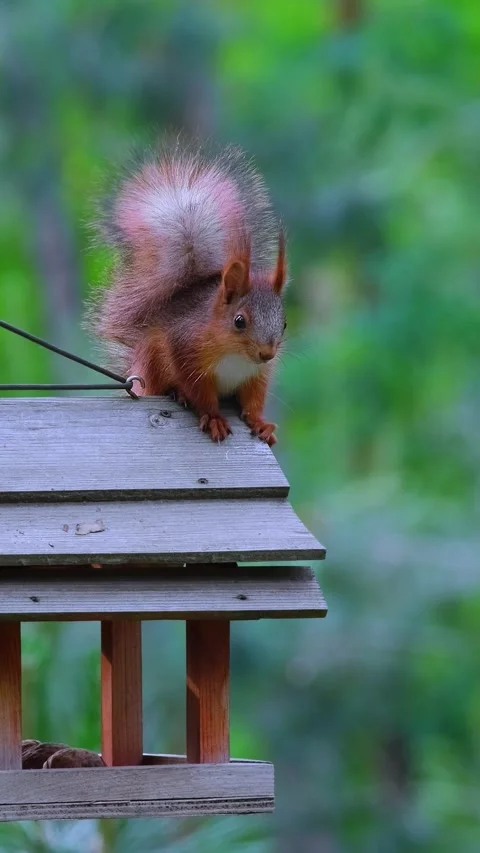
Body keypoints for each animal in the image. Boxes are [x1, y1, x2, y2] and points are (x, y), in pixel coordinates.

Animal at [87, 139, 288, 447]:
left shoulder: (257, 375)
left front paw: (260, 423)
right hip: (153, 359)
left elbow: (254, 400)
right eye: (239, 320)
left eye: (285, 323)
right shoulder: (186, 351)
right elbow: (200, 393)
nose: (267, 353)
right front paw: (214, 418)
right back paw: (175, 393)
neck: (236, 355)